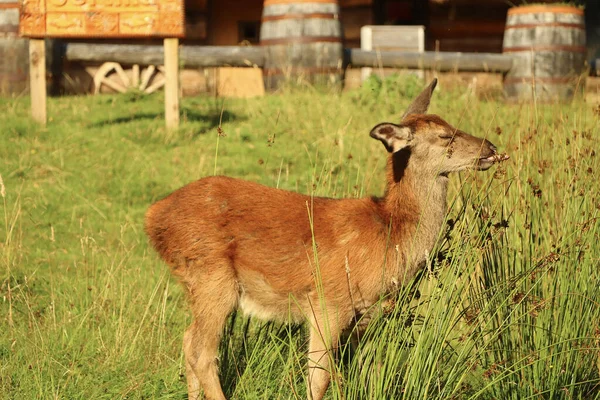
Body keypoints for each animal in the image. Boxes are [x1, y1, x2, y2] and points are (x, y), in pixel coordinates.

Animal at [144, 79, 506, 400]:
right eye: (445, 135)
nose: (491, 149)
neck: (390, 232)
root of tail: (152, 217)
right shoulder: (327, 303)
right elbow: (318, 379)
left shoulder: (365, 316)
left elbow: (360, 371)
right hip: (211, 276)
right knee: (201, 352)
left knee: (188, 340)